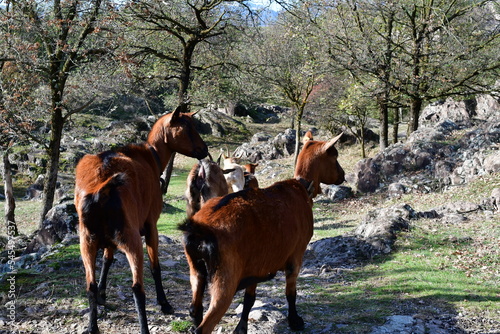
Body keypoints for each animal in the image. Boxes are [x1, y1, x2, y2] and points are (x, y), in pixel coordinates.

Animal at [74, 107, 207, 334]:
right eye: (188, 128)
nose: (204, 150)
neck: (150, 157)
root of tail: (101, 189)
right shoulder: (151, 225)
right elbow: (155, 267)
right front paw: (164, 303)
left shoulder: (109, 240)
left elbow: (107, 260)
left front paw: (102, 294)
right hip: (132, 239)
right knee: (137, 288)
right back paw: (144, 327)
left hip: (87, 241)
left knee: (89, 285)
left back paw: (93, 326)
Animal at [178, 134, 346, 334]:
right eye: (334, 156)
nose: (343, 175)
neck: (301, 187)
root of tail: (200, 229)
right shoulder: (296, 256)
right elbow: (291, 293)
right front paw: (295, 321)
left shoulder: (255, 267)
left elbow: (249, 300)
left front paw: (241, 328)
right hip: (225, 278)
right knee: (205, 325)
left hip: (196, 270)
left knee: (194, 309)